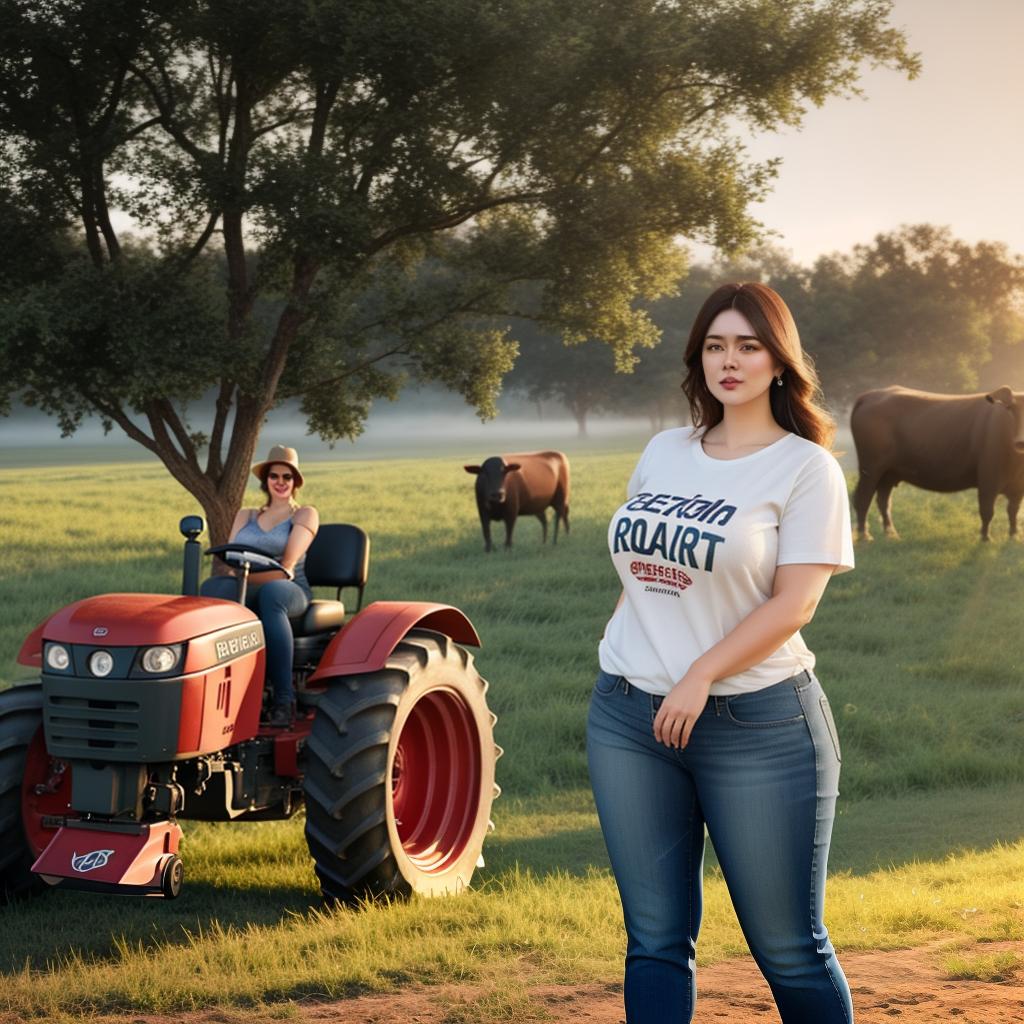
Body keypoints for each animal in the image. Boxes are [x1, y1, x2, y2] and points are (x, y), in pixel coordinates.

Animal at [847, 385, 1024, 544]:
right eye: (1012, 409)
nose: (1020, 442)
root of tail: (871, 395)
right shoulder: (988, 479)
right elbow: (987, 510)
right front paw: (985, 538)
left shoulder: (1018, 487)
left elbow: (1013, 511)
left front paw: (1014, 536)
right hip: (870, 468)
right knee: (862, 498)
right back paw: (864, 536)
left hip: (888, 473)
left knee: (883, 501)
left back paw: (891, 534)